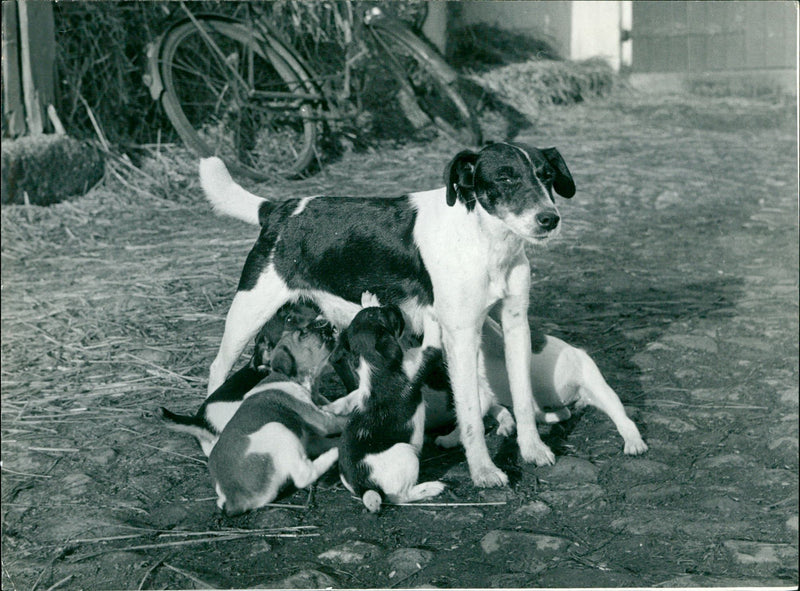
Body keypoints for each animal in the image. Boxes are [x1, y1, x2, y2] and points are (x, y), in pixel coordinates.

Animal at [200, 141, 576, 488]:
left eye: (547, 176)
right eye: (505, 177)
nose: (550, 219)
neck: (483, 238)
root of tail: (280, 208)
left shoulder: (515, 324)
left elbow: (521, 395)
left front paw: (532, 448)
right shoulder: (461, 334)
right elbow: (469, 409)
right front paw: (482, 469)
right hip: (248, 312)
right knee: (218, 367)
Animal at [332, 306, 444, 512]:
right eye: (385, 316)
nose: (394, 307)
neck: (372, 366)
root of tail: (363, 486)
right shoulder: (424, 356)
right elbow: (431, 335)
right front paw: (429, 309)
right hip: (406, 452)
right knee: (400, 496)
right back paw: (431, 488)